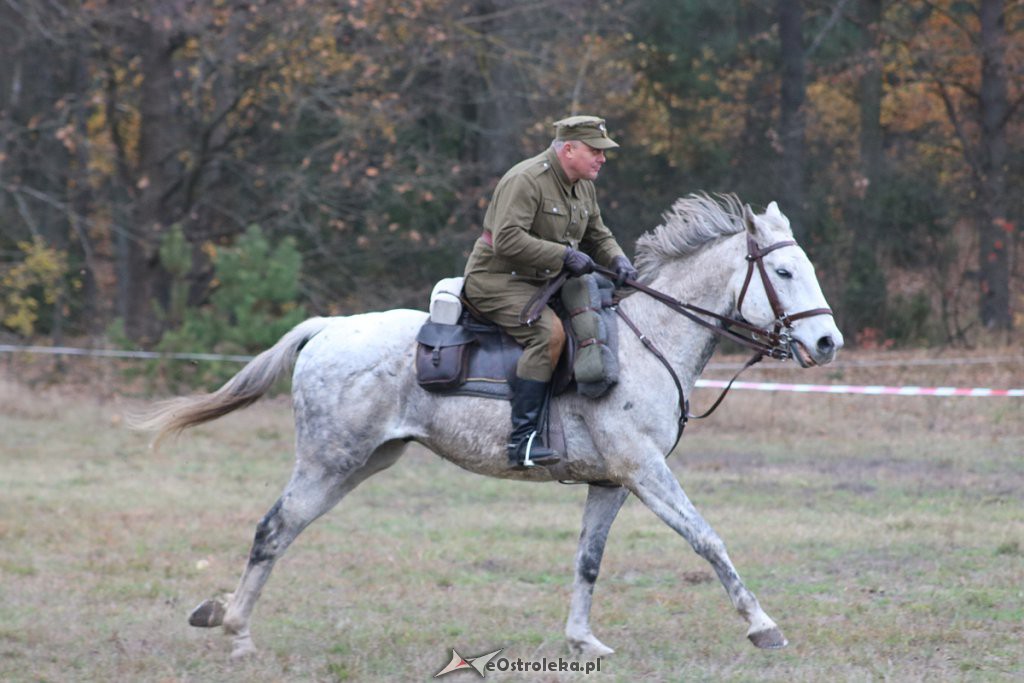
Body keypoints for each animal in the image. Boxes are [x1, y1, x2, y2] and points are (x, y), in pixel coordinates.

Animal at [142, 193, 839, 663]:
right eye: (782, 273)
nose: (827, 343)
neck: (649, 340)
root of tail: (328, 327)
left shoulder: (613, 482)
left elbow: (589, 559)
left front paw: (582, 640)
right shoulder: (645, 471)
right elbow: (708, 540)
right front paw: (762, 625)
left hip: (359, 464)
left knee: (283, 532)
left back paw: (221, 615)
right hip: (327, 462)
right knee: (272, 530)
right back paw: (238, 636)